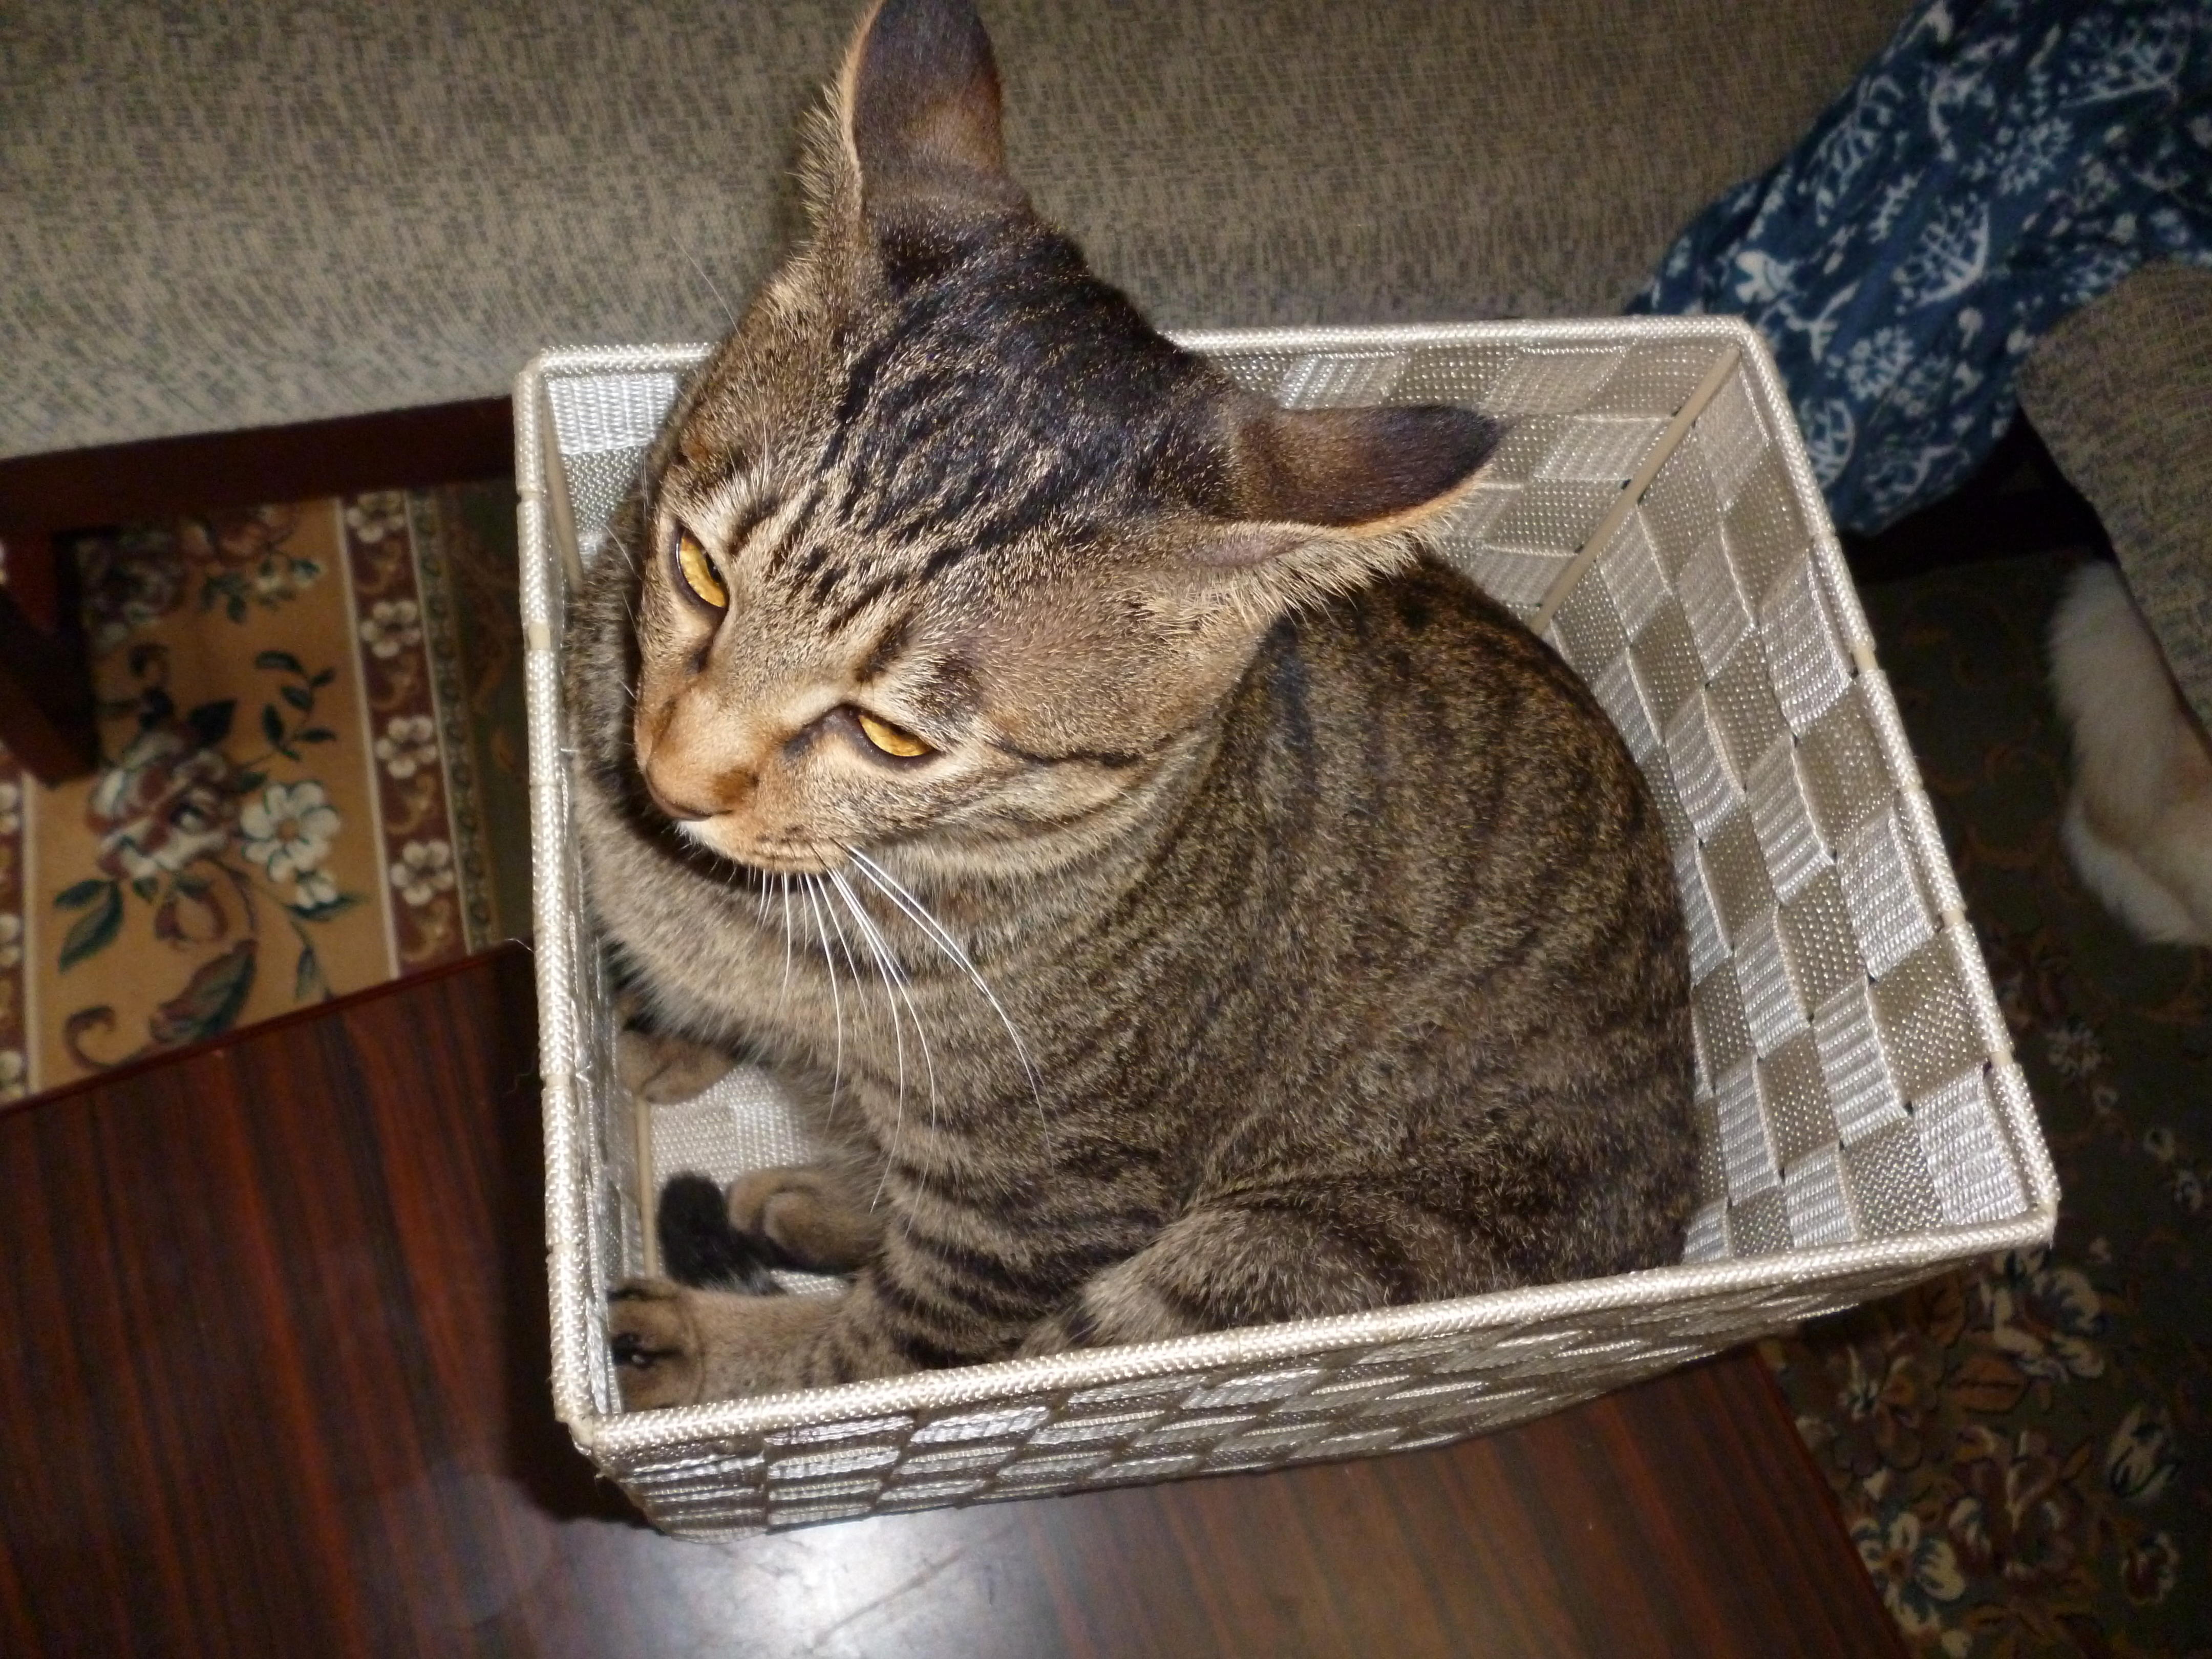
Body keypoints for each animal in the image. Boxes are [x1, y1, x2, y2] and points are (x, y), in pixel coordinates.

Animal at [569, 0, 1697, 1409]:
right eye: (701, 571)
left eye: (892, 735)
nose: (675, 777)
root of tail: (1679, 1197)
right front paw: (670, 1025)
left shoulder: (1025, 1222)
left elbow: (868, 1365)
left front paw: (716, 1344)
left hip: (1268, 1253)